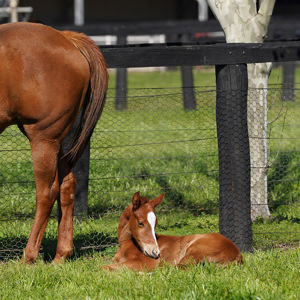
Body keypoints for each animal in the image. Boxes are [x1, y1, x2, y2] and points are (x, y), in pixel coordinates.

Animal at [103, 192, 244, 272]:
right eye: (140, 223)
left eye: (155, 223)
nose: (155, 253)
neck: (125, 245)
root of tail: (237, 254)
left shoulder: (146, 263)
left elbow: (103, 268)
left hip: (193, 253)